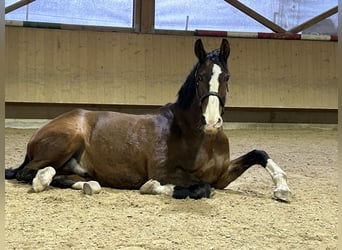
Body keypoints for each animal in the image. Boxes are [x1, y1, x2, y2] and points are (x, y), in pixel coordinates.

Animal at [4, 38, 292, 201]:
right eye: (200, 77)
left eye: (226, 77)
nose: (212, 121)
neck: (201, 138)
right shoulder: (165, 172)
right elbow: (202, 188)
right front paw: (151, 188)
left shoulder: (222, 175)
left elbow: (258, 153)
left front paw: (283, 189)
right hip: (67, 139)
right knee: (27, 172)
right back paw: (43, 179)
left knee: (61, 176)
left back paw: (88, 185)